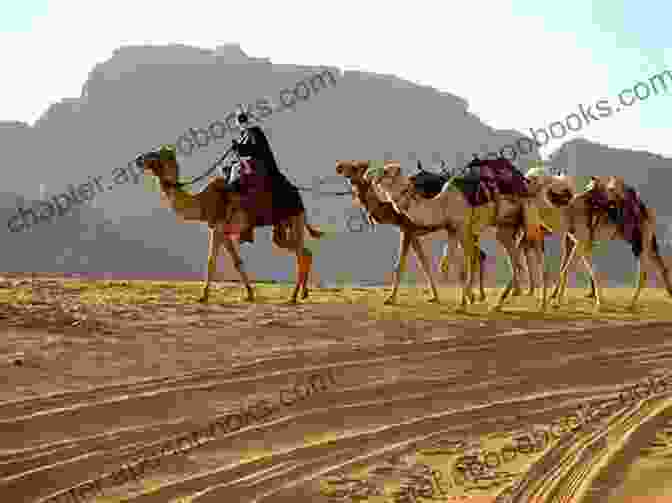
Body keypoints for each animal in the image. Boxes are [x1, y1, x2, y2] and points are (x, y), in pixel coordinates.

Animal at [135, 146, 322, 304]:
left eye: (156, 154)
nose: (138, 159)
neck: (202, 203)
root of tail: (297, 195)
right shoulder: (224, 232)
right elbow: (236, 261)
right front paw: (249, 294)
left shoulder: (218, 228)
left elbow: (211, 261)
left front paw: (203, 297)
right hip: (282, 225)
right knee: (302, 250)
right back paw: (303, 293)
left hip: (295, 218)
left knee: (301, 253)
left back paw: (293, 296)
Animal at [336, 159, 488, 306]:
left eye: (355, 167)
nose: (339, 166)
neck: (390, 210)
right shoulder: (413, 233)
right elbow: (424, 262)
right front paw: (435, 297)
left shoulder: (408, 229)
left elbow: (402, 265)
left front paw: (391, 299)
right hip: (465, 228)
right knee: (479, 254)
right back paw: (478, 295)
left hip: (464, 226)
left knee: (475, 254)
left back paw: (474, 296)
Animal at [364, 163, 548, 312]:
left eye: (386, 171)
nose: (368, 173)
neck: (442, 204)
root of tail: (529, 184)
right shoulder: (452, 230)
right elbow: (450, 265)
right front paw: (464, 301)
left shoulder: (460, 228)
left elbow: (462, 268)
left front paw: (463, 305)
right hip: (506, 227)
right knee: (516, 261)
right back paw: (499, 304)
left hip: (529, 218)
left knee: (536, 254)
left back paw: (542, 304)